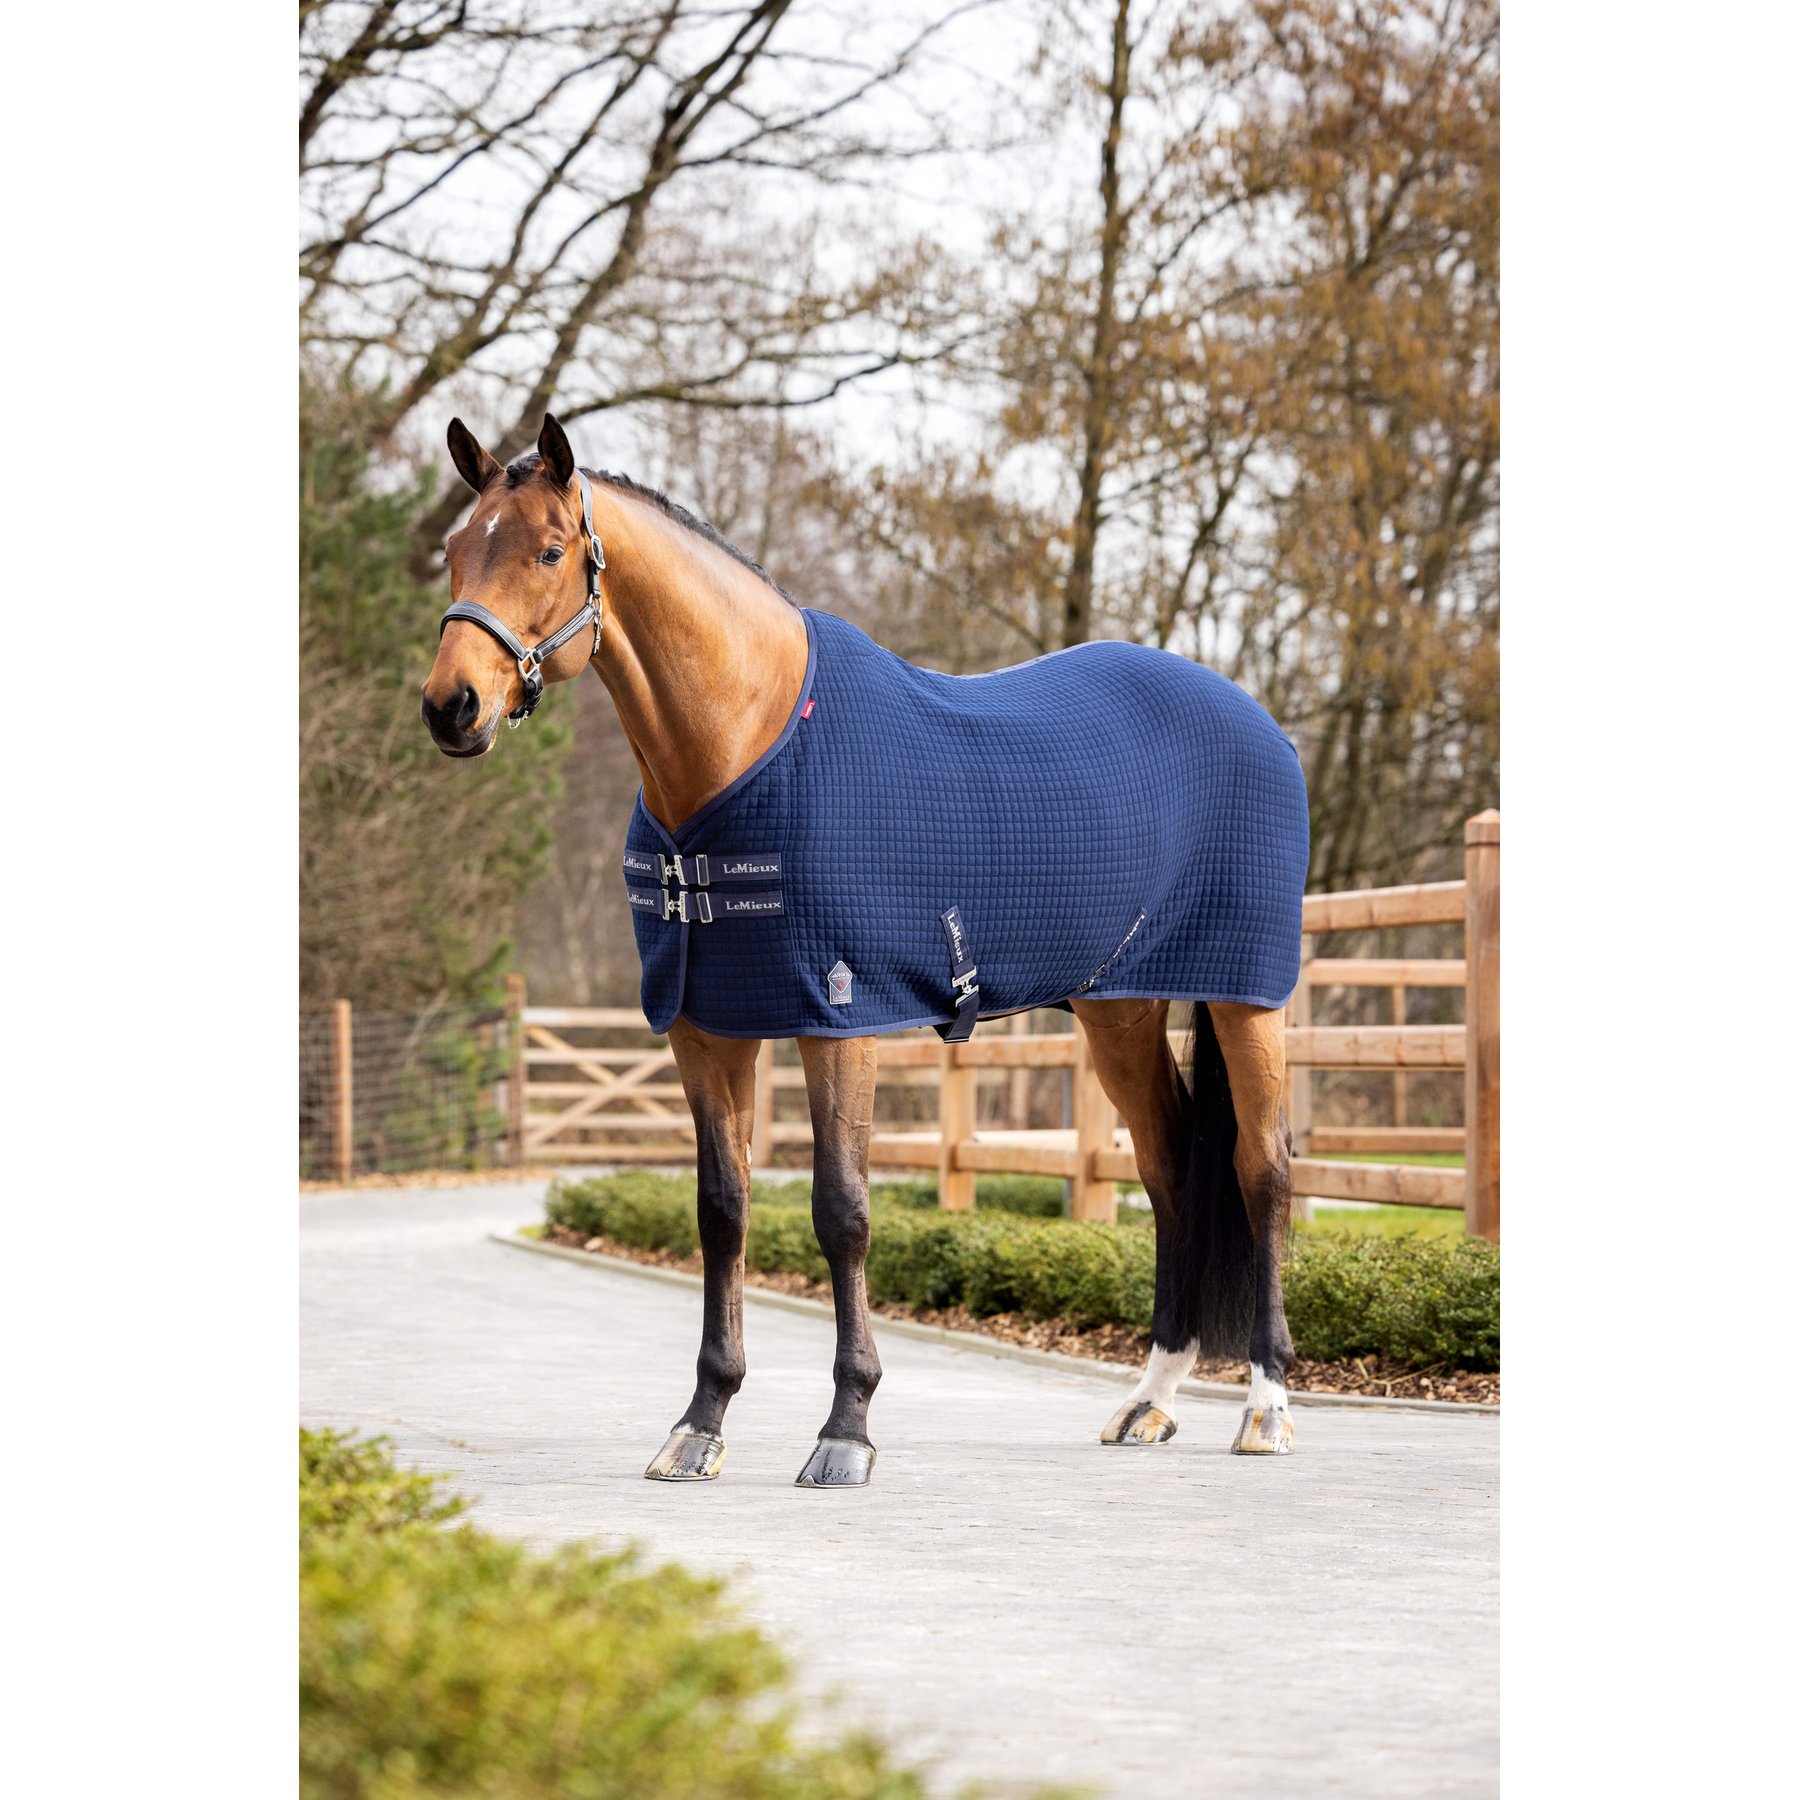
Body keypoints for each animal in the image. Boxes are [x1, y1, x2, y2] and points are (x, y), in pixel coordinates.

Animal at [422, 413, 1306, 1488]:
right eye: (458, 551)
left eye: (549, 552)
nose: (452, 707)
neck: (749, 743)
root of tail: (1257, 720)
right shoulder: (706, 1026)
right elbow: (723, 1210)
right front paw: (702, 1422)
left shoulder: (839, 1016)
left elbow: (841, 1210)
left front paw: (846, 1429)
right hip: (1120, 1008)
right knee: (1172, 1167)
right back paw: (1152, 1399)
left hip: (1246, 999)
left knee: (1262, 1172)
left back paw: (1265, 1407)